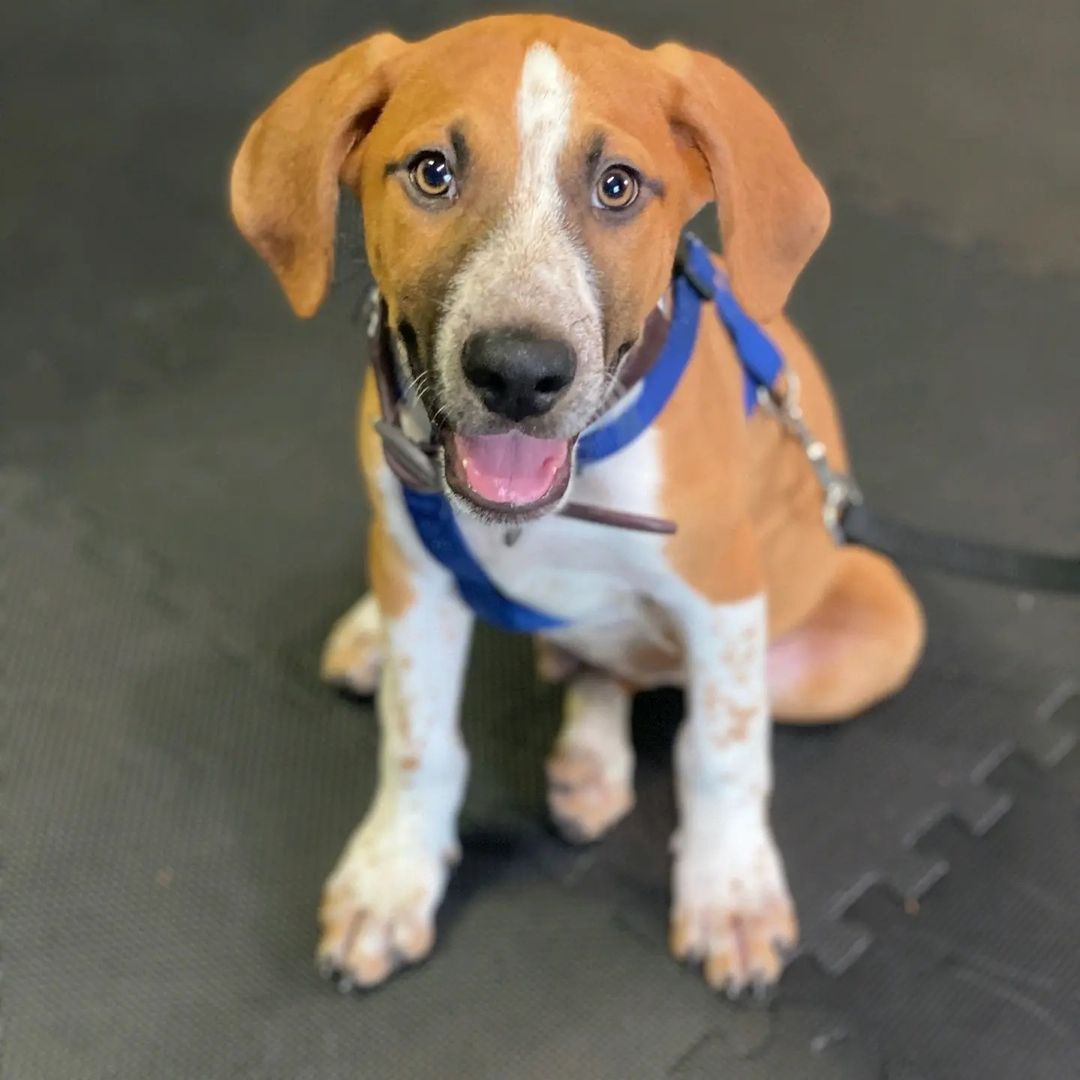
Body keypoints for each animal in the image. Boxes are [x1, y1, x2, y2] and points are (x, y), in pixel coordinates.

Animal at [232, 14, 924, 993]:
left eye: (618, 186)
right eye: (433, 172)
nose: (520, 373)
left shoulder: (722, 592)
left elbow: (721, 749)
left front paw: (731, 893)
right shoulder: (419, 571)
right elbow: (417, 738)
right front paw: (391, 876)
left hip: (875, 619)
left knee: (624, 673)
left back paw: (593, 767)